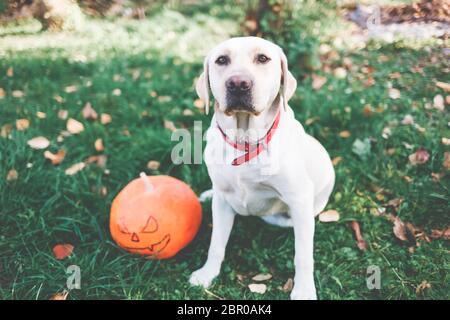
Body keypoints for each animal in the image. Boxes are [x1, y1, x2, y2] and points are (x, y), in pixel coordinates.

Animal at [189, 37, 334, 300]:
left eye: (263, 58)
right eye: (221, 60)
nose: (238, 84)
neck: (245, 141)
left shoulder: (299, 199)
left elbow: (303, 255)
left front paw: (304, 290)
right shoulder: (223, 202)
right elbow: (216, 243)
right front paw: (207, 274)